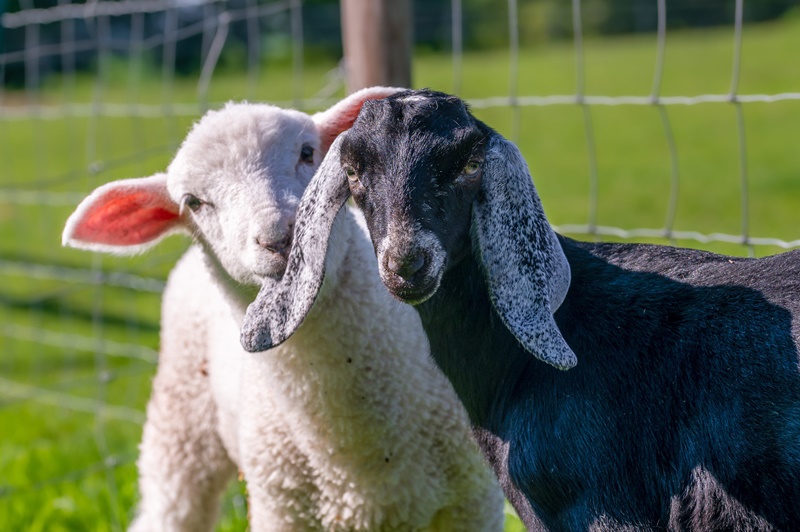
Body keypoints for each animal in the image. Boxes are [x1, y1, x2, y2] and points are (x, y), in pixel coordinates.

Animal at [62, 87, 504, 532]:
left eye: (308, 152)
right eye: (194, 202)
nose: (282, 235)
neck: (360, 458)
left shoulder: (474, 501)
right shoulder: (282, 509)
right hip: (179, 419)